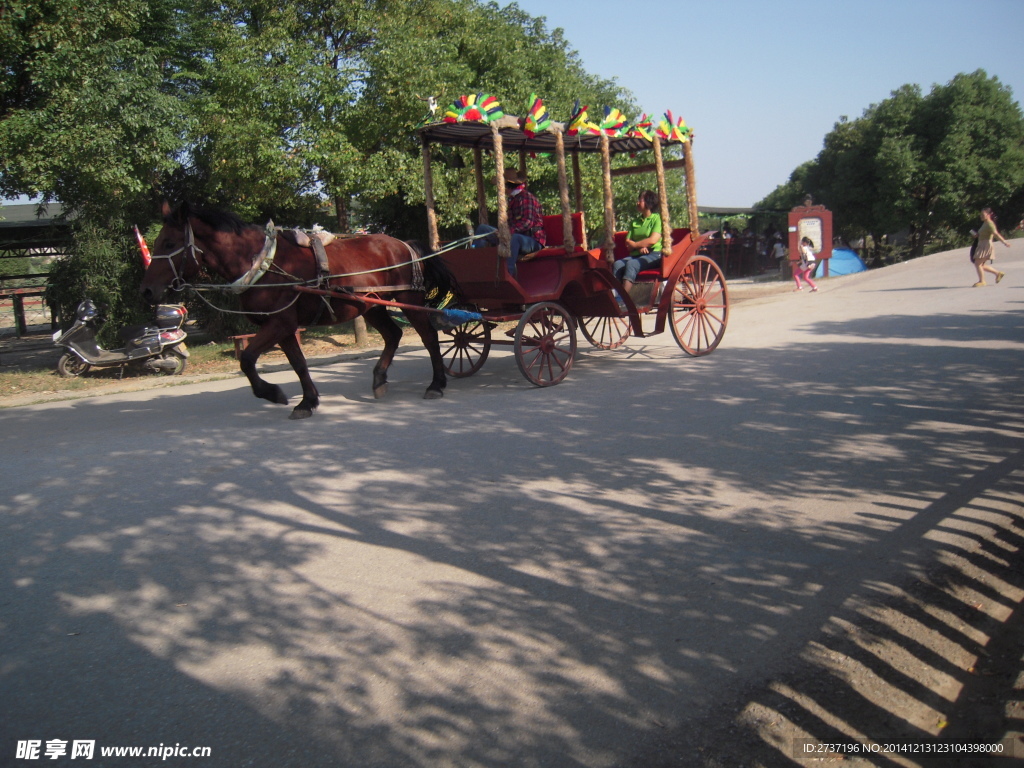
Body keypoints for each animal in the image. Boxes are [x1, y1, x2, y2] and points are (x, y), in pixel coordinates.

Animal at [140, 202, 452, 421]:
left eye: (169, 243)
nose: (147, 291)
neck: (262, 264)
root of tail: (402, 244)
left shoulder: (278, 323)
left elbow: (248, 360)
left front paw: (273, 393)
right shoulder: (285, 326)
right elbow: (298, 364)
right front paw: (307, 401)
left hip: (408, 298)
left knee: (428, 338)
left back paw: (436, 384)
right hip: (371, 305)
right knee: (393, 335)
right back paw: (379, 379)